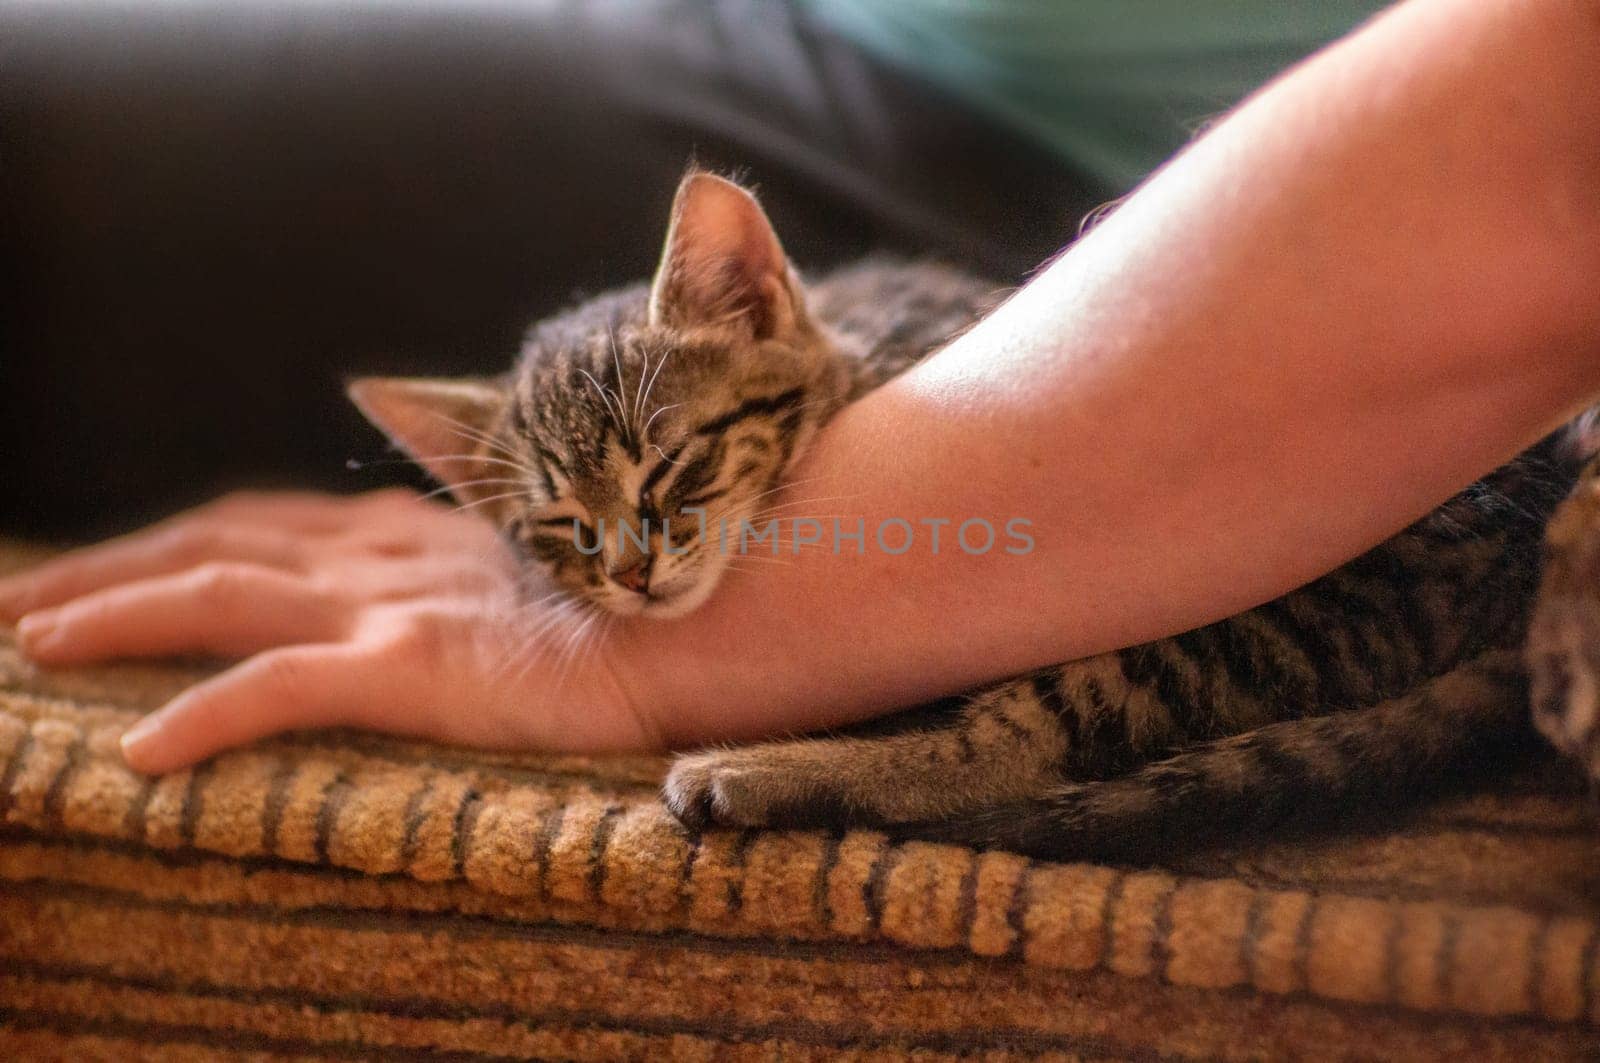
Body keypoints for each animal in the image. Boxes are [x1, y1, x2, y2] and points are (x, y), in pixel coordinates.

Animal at [347, 170, 1587, 858]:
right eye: (560, 528)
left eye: (672, 466)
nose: (630, 575)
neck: (861, 361)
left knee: (1013, 747)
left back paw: (760, 772)